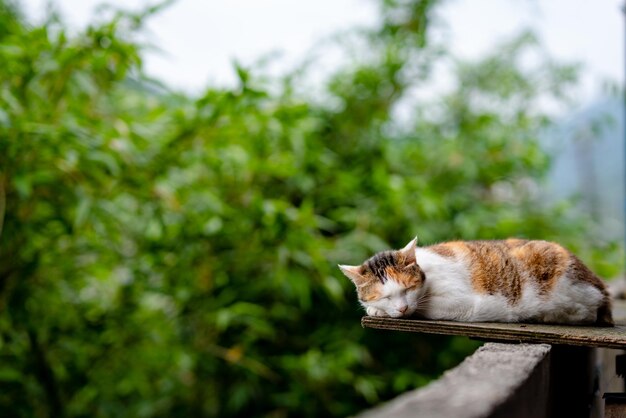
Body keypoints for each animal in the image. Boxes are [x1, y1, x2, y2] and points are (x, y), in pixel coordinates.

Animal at [338, 238, 612, 326]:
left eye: (407, 288)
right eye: (385, 296)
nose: (403, 308)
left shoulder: (465, 303)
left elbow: (425, 309)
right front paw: (375, 310)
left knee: (584, 313)